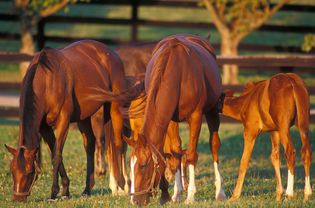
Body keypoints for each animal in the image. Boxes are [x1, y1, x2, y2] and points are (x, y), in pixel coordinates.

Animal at [3, 39, 139, 202]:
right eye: (12, 170)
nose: (18, 198)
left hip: (115, 108)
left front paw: (54, 193)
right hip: (86, 117)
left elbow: (56, 155)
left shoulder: (63, 121)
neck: (47, 80)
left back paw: (121, 186)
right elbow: (55, 153)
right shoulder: (44, 127)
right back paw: (87, 190)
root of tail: (111, 53)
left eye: (30, 172)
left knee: (118, 144)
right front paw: (66, 191)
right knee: (91, 146)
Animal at [123, 34, 227, 205]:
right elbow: (175, 152)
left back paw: (220, 192)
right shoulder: (170, 119)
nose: (135, 200)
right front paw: (175, 194)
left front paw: (190, 195)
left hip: (212, 111)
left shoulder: (195, 117)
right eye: (131, 166)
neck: (177, 73)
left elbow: (191, 155)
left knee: (214, 146)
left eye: (143, 165)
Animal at [223, 73, 312, 202]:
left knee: (290, 152)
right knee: (306, 152)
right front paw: (278, 195)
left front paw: (235, 195)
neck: (246, 101)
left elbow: (244, 160)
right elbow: (275, 157)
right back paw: (307, 194)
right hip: (303, 125)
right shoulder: (274, 131)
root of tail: (293, 82)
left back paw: (289, 195)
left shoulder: (250, 130)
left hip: (284, 128)